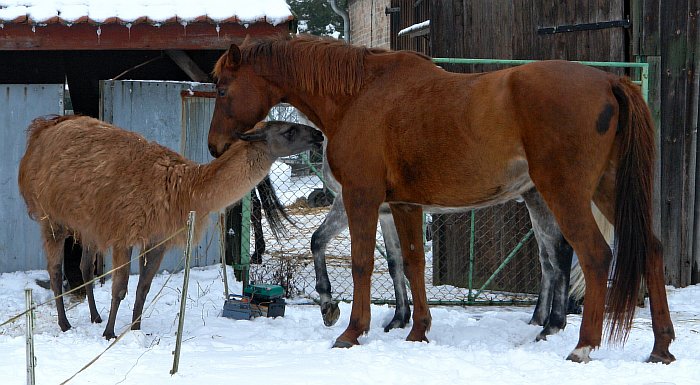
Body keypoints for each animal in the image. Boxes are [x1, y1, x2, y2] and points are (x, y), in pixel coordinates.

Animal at [206, 35, 672, 364]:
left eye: (223, 89)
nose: (214, 146)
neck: (360, 95)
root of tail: (610, 79)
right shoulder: (404, 206)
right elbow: (410, 263)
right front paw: (415, 329)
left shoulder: (361, 198)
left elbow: (360, 264)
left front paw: (351, 330)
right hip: (605, 191)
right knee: (648, 250)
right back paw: (660, 347)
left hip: (564, 194)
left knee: (591, 256)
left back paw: (582, 345)